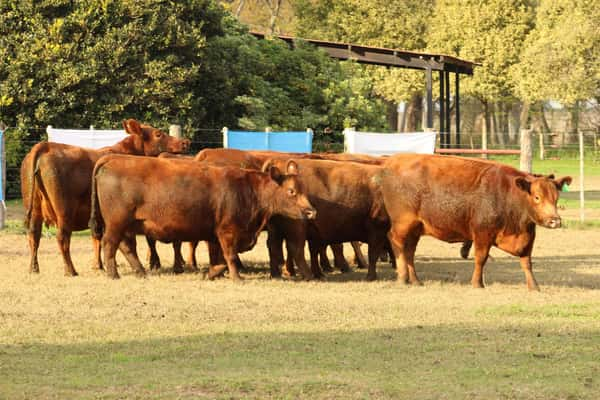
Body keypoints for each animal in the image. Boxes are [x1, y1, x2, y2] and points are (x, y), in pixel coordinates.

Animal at [380, 154, 572, 290]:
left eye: (556, 198)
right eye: (537, 197)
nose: (555, 221)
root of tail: (390, 162)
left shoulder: (527, 237)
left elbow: (527, 262)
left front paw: (534, 286)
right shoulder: (482, 234)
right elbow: (481, 258)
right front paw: (477, 283)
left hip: (416, 228)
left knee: (409, 251)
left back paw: (415, 280)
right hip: (403, 223)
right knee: (396, 241)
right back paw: (402, 277)